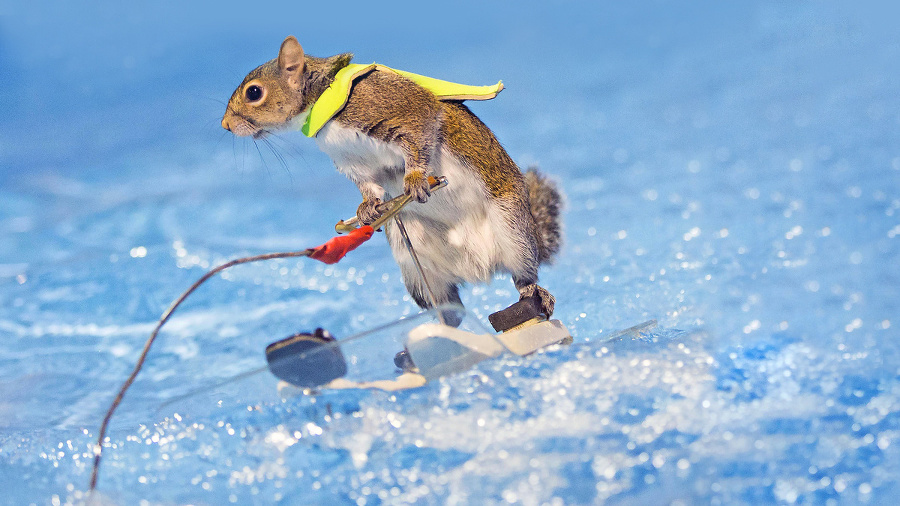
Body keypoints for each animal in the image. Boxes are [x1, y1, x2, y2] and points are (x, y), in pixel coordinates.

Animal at [221, 37, 560, 318]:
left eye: (254, 92)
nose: (225, 125)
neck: (323, 102)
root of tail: (479, 268)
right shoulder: (353, 161)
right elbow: (369, 184)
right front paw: (366, 207)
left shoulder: (399, 109)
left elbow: (422, 132)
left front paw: (415, 181)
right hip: (413, 264)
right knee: (448, 304)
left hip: (513, 229)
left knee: (523, 275)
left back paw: (535, 294)